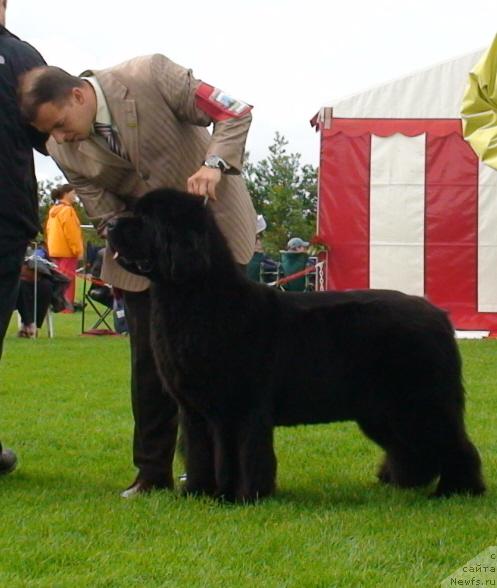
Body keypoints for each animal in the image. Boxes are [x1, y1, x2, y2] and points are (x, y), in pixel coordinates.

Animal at [108, 187, 484, 500]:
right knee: (411, 446)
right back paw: (404, 481)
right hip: (384, 409)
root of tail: (439, 314)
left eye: (145, 220)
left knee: (455, 443)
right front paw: (198, 493)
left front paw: (242, 496)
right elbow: (200, 453)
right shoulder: (195, 410)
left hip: (421, 400)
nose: (109, 224)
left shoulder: (238, 406)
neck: (195, 297)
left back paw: (457, 490)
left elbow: (240, 453)